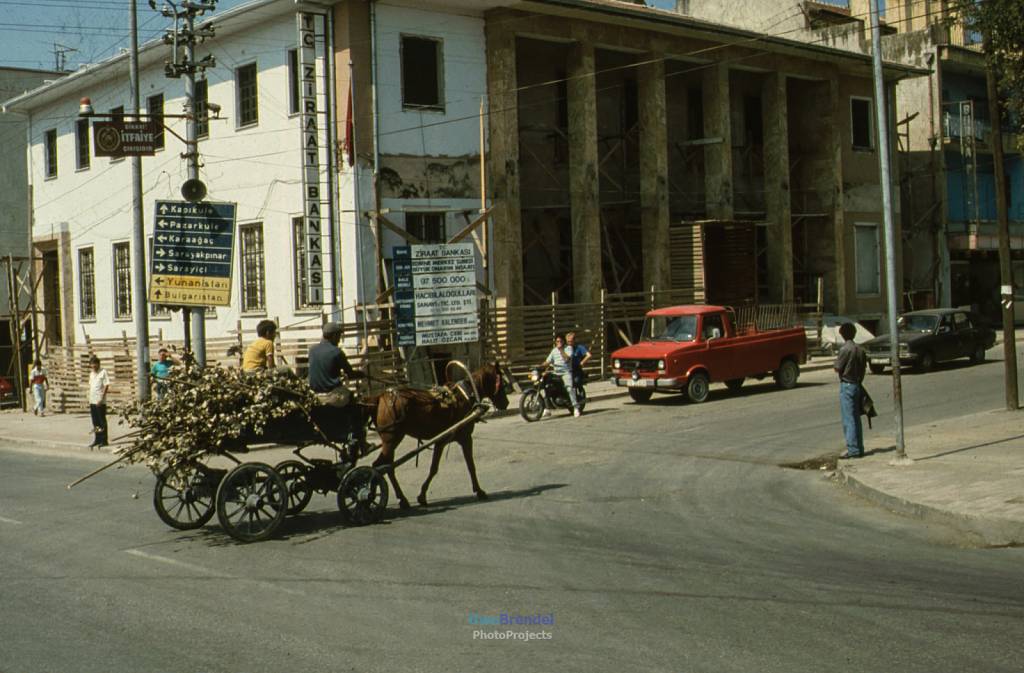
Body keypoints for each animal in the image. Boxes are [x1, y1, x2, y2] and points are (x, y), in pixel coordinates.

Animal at [364, 362, 512, 510]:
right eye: (502, 383)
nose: (506, 403)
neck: (465, 396)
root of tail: (380, 398)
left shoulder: (441, 441)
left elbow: (434, 468)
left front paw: (422, 496)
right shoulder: (465, 439)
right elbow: (470, 465)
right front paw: (479, 491)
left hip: (391, 441)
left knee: (385, 466)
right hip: (391, 440)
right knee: (382, 466)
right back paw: (383, 496)